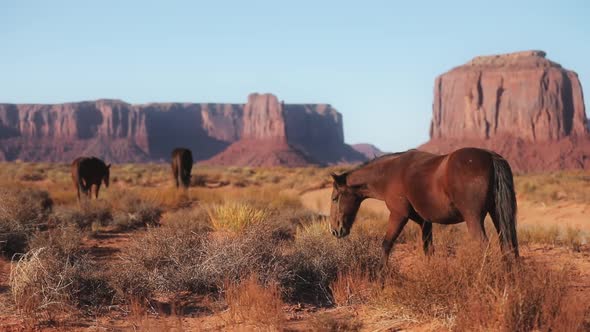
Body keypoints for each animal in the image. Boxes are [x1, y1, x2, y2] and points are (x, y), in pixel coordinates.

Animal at [330, 148, 520, 268]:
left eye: (334, 198)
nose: (335, 230)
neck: (388, 174)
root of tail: (490, 156)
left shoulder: (398, 215)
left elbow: (386, 245)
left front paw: (381, 277)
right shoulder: (425, 222)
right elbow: (428, 249)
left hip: (474, 219)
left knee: (484, 246)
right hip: (498, 216)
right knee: (509, 246)